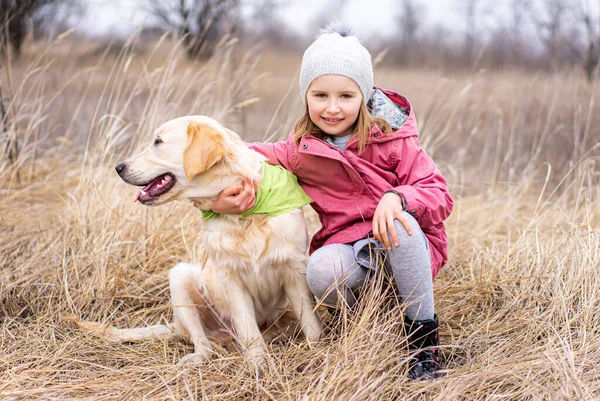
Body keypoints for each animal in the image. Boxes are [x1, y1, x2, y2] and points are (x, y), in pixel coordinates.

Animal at [81, 115, 324, 362]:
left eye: (158, 141)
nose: (118, 167)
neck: (246, 215)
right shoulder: (230, 278)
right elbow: (248, 329)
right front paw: (257, 364)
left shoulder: (295, 269)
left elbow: (312, 323)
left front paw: (318, 351)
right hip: (180, 277)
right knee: (203, 345)